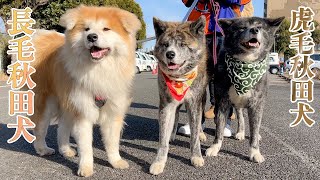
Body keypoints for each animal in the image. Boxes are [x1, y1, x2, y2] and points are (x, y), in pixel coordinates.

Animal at [31, 5, 141, 177]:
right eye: (86, 29)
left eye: (106, 29)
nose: (91, 37)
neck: (99, 70)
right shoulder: (83, 112)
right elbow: (86, 146)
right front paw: (86, 167)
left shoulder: (112, 110)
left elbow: (112, 142)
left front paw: (116, 162)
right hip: (47, 102)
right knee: (40, 128)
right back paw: (43, 149)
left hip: (68, 104)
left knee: (62, 128)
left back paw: (65, 150)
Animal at [149, 16, 208, 174]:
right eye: (165, 44)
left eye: (182, 45)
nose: (170, 54)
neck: (180, 78)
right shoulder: (166, 104)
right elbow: (163, 138)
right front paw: (159, 161)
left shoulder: (194, 102)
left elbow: (194, 135)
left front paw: (196, 156)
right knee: (175, 116)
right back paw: (172, 134)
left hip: (202, 98)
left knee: (199, 120)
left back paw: (201, 133)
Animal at [205, 17, 284, 163]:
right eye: (242, 28)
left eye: (260, 27)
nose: (254, 30)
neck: (245, 64)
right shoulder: (222, 102)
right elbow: (219, 128)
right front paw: (215, 147)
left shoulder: (257, 104)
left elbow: (254, 129)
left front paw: (255, 152)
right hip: (238, 105)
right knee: (241, 118)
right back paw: (240, 132)